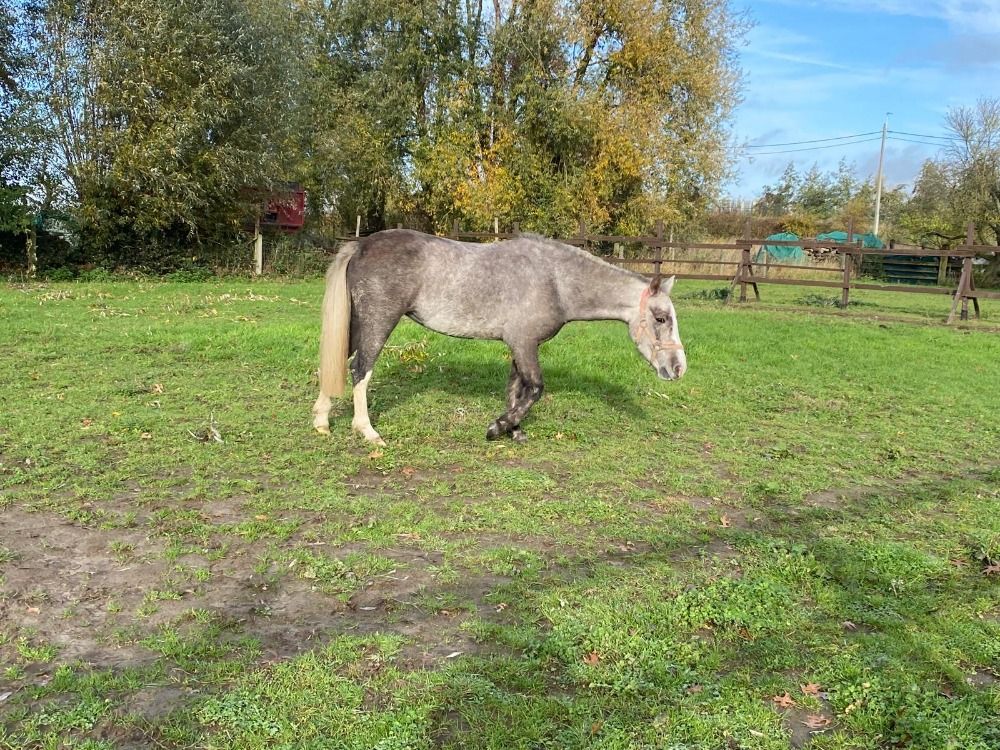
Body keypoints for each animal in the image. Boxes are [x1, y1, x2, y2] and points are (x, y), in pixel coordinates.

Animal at [312, 229, 686, 445]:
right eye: (661, 318)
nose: (678, 368)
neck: (556, 281)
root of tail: (362, 244)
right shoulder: (524, 344)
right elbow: (535, 388)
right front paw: (498, 427)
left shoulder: (519, 345)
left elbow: (516, 388)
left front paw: (514, 429)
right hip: (378, 322)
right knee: (360, 369)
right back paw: (367, 432)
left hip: (356, 323)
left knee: (337, 363)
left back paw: (321, 421)